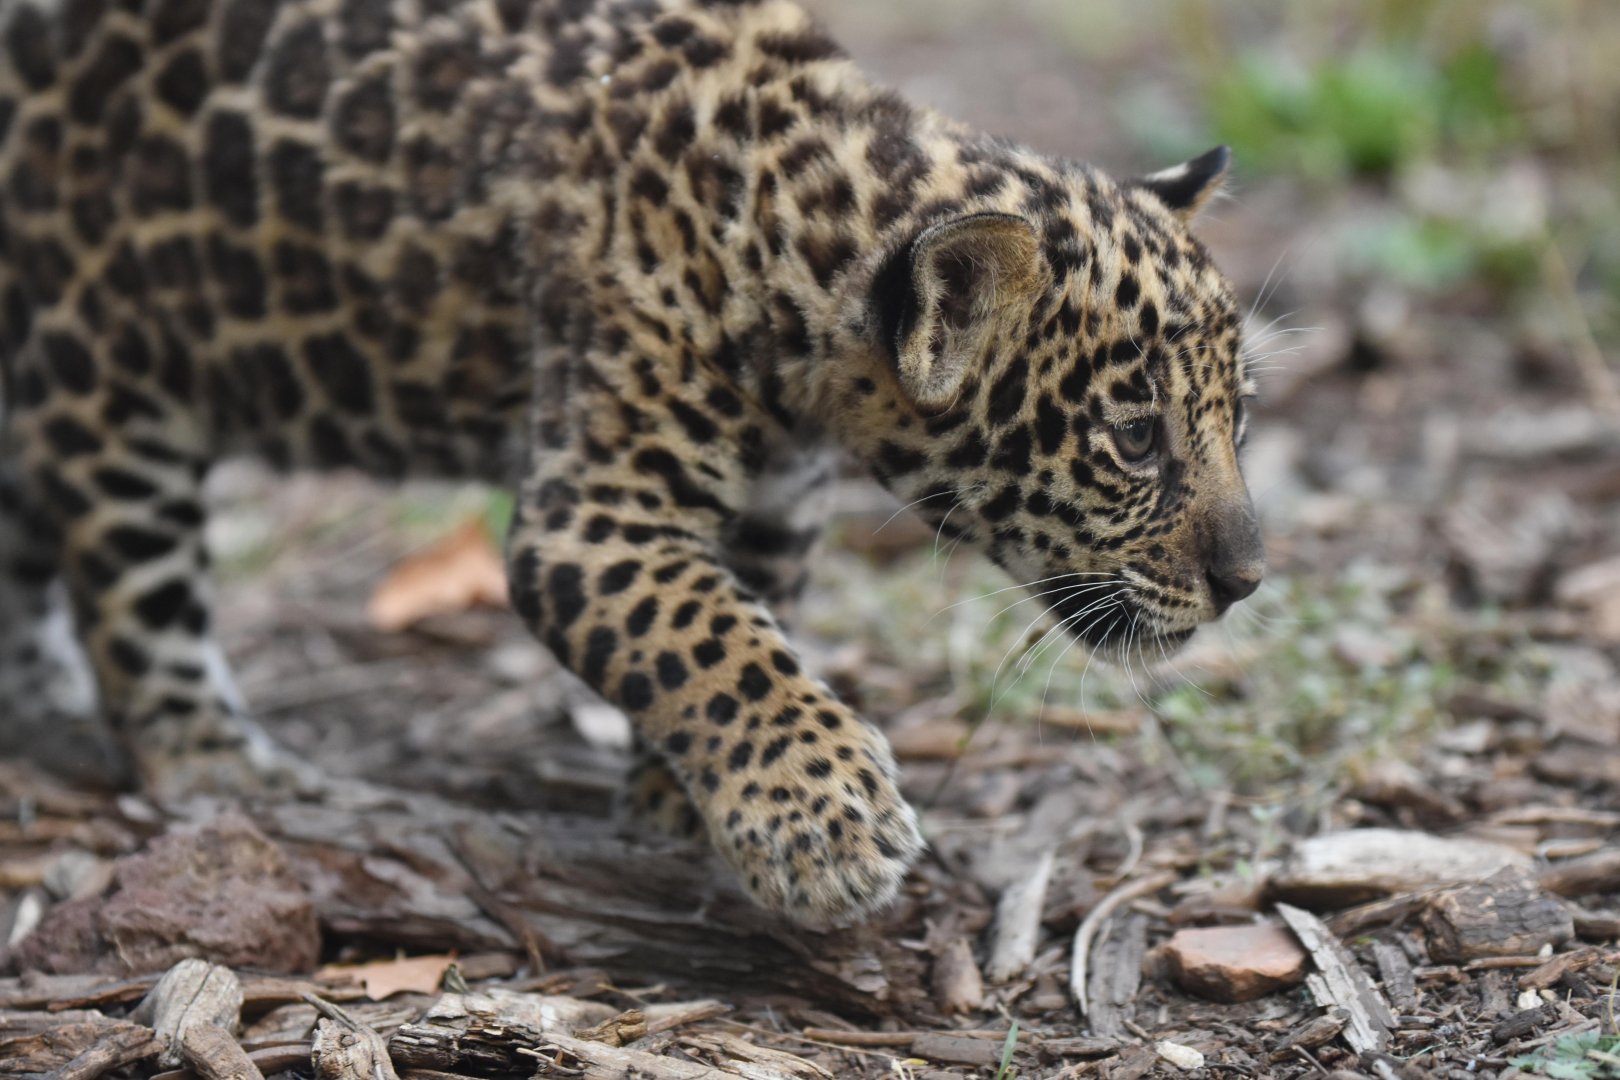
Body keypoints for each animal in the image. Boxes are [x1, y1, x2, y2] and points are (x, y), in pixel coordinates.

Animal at [0, 0, 1263, 926]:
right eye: (1135, 437)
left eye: (1239, 417)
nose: (1247, 582)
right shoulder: (596, 517)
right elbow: (709, 638)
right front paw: (826, 824)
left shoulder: (778, 505)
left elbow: (747, 616)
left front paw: (677, 799)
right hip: (110, 375)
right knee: (138, 604)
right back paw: (224, 760)